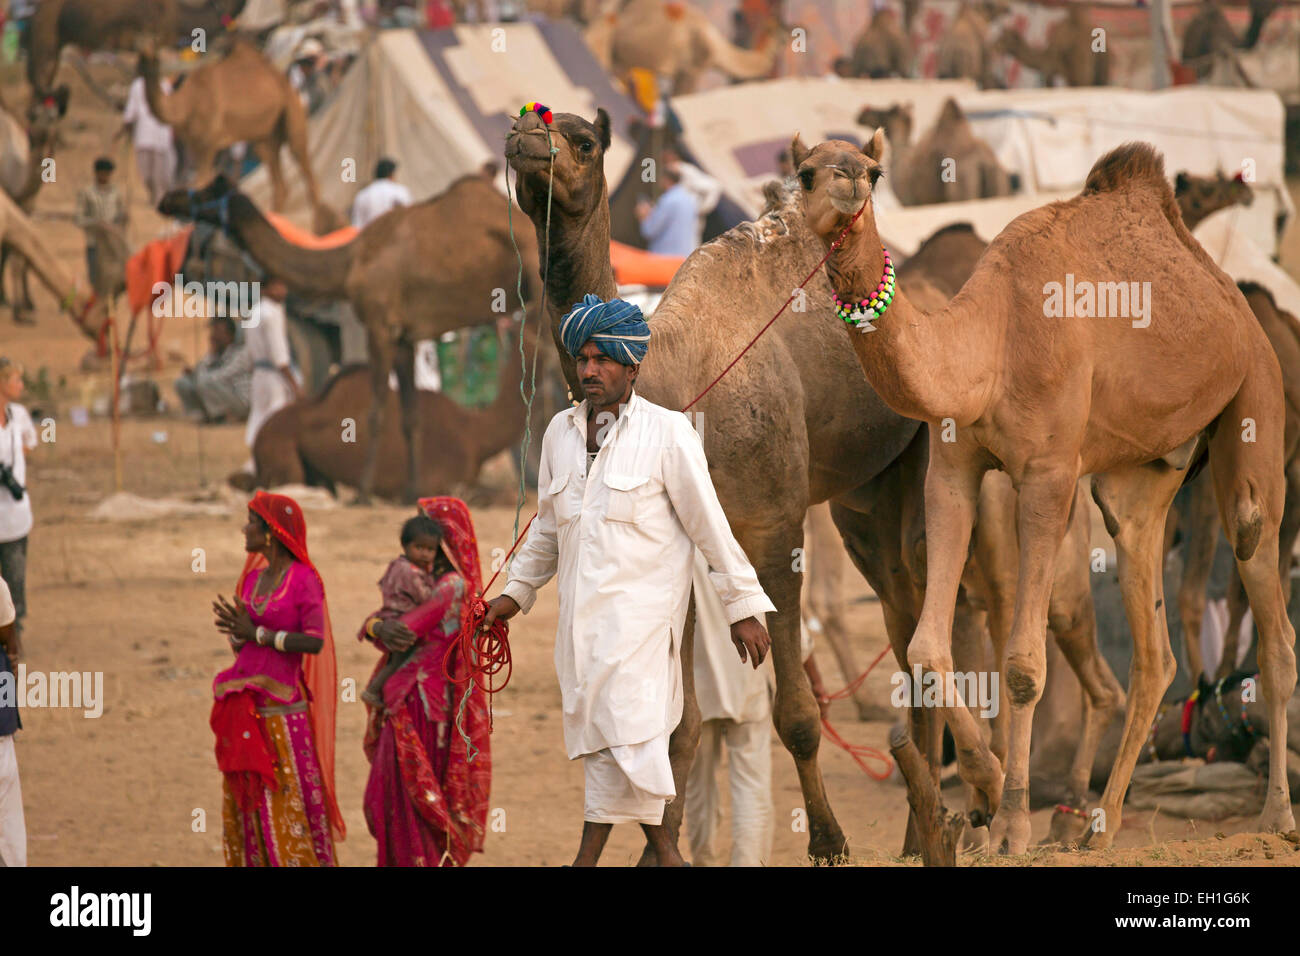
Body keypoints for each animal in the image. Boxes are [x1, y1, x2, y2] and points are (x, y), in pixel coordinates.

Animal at [158, 172, 543, 504]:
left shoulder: (378, 325)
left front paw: (363, 493)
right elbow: (410, 415)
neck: (348, 263)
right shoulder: (403, 335)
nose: (167, 199)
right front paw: (411, 492)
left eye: (209, 190)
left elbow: (375, 412)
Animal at [795, 132, 1294, 853]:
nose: (846, 189)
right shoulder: (951, 468)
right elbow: (926, 649)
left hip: (1255, 400)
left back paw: (1276, 816)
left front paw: (1009, 823)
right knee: (1154, 651)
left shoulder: (1050, 475)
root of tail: (1234, 299)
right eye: (805, 172)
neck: (990, 346)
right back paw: (1100, 825)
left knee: (1267, 592)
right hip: (1141, 479)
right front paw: (984, 789)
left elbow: (1024, 665)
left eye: (872, 171)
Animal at [857, 100, 1019, 206]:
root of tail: (984, 163)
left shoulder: (911, 201)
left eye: (889, 110)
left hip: (963, 191)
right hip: (1001, 186)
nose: (862, 113)